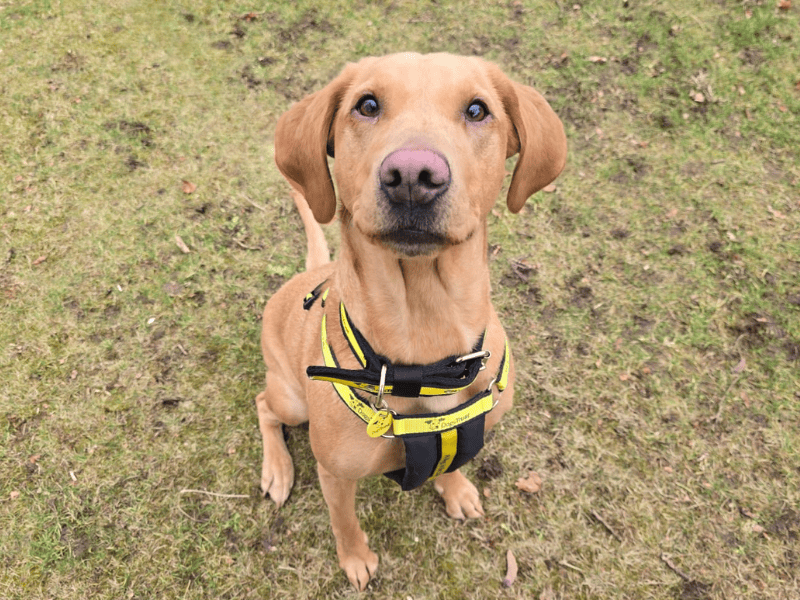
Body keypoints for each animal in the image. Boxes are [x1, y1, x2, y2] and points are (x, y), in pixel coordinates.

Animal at [258, 52, 568, 592]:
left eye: (477, 109)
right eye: (367, 105)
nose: (412, 176)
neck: (427, 348)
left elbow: (452, 462)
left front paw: (456, 488)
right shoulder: (335, 474)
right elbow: (344, 521)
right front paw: (355, 557)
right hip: (291, 399)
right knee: (263, 406)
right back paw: (276, 469)